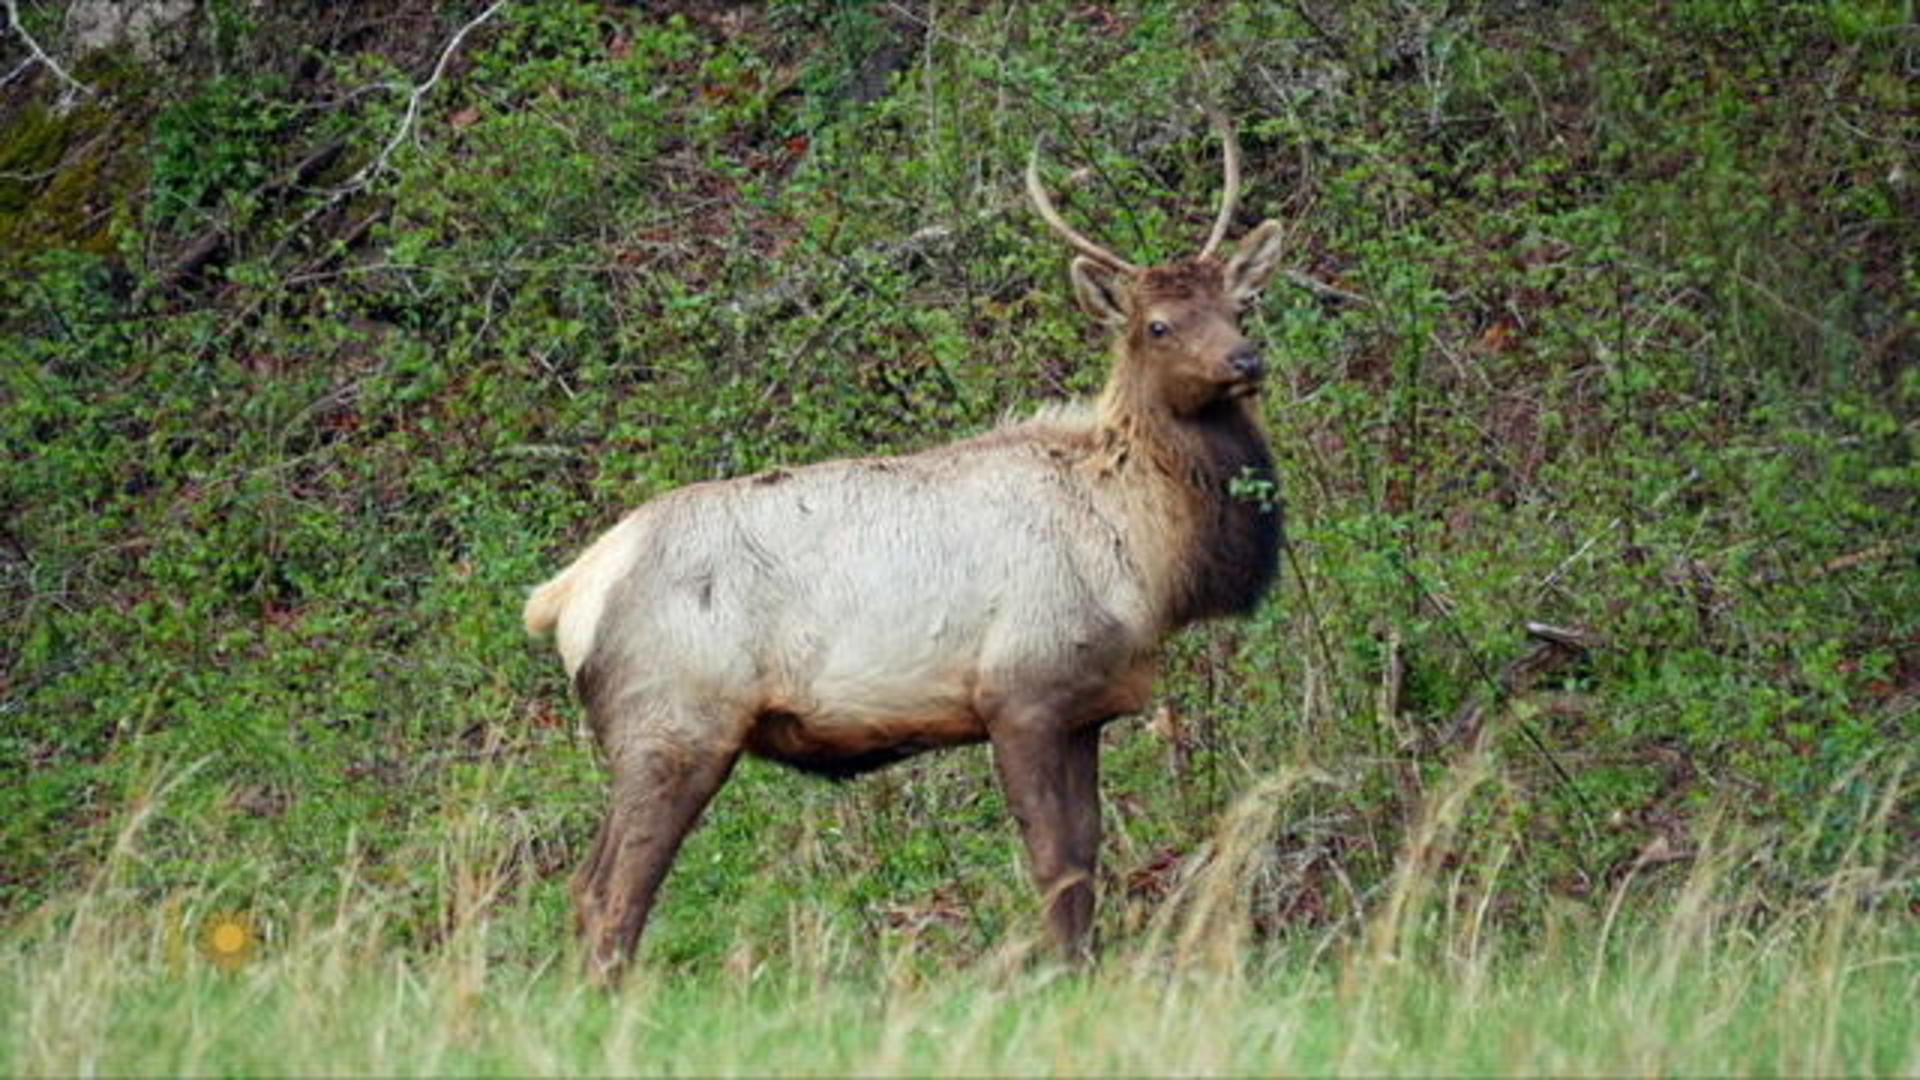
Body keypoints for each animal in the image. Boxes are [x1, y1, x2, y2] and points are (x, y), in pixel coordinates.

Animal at [522, 117, 1290, 976]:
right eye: (1157, 325)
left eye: (1240, 303)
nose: (1245, 360)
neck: (1145, 559)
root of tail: (565, 595)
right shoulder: (1018, 691)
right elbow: (1055, 864)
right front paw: (1063, 976)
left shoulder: (1083, 706)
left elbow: (1087, 860)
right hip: (672, 722)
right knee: (610, 892)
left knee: (590, 888)